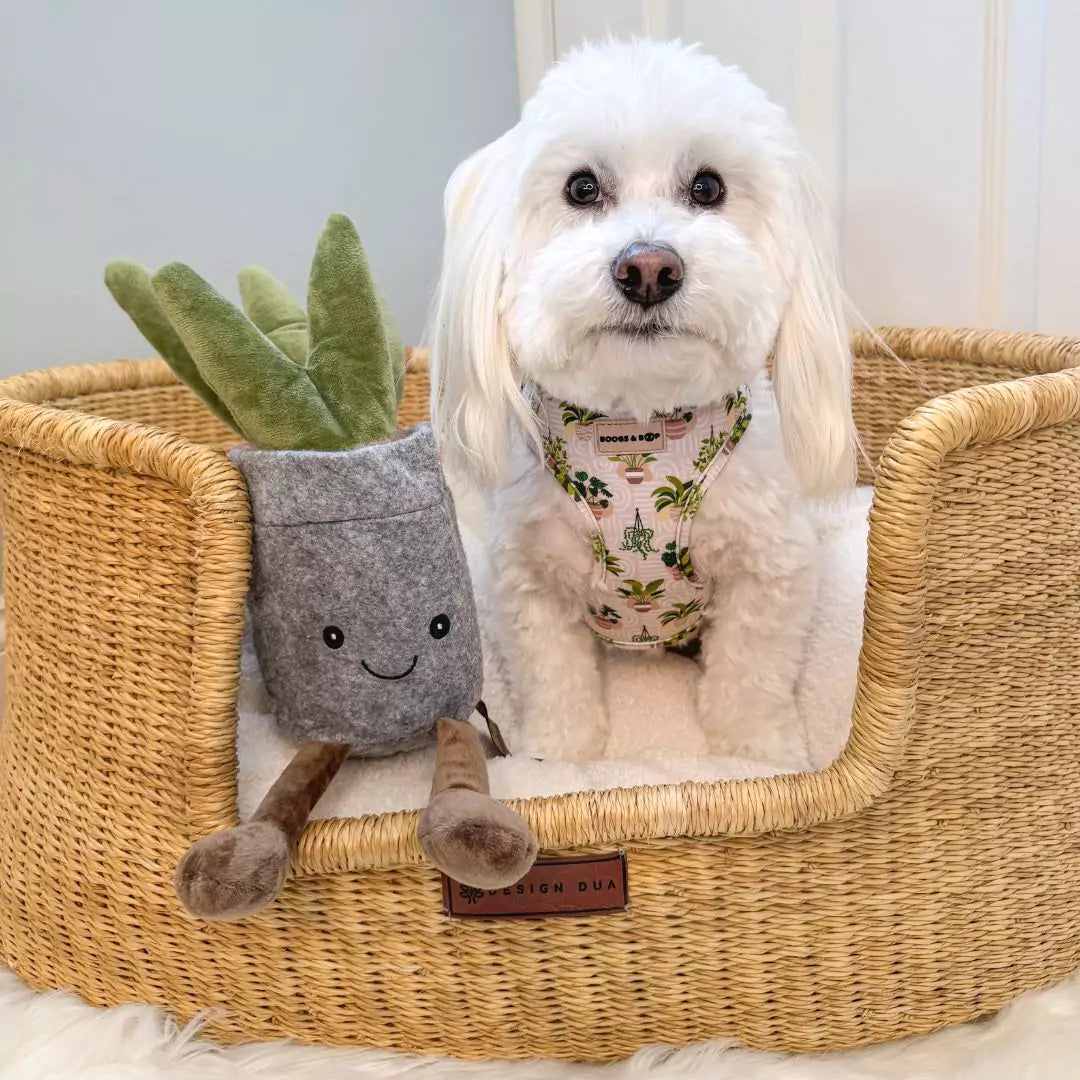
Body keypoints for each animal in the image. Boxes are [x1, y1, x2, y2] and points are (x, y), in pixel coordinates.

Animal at [425, 39, 855, 768]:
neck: (641, 426)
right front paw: (556, 756)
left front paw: (758, 752)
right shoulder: (528, 580)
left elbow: (753, 668)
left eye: (707, 188)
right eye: (582, 187)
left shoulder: (770, 566)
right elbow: (553, 670)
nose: (648, 268)